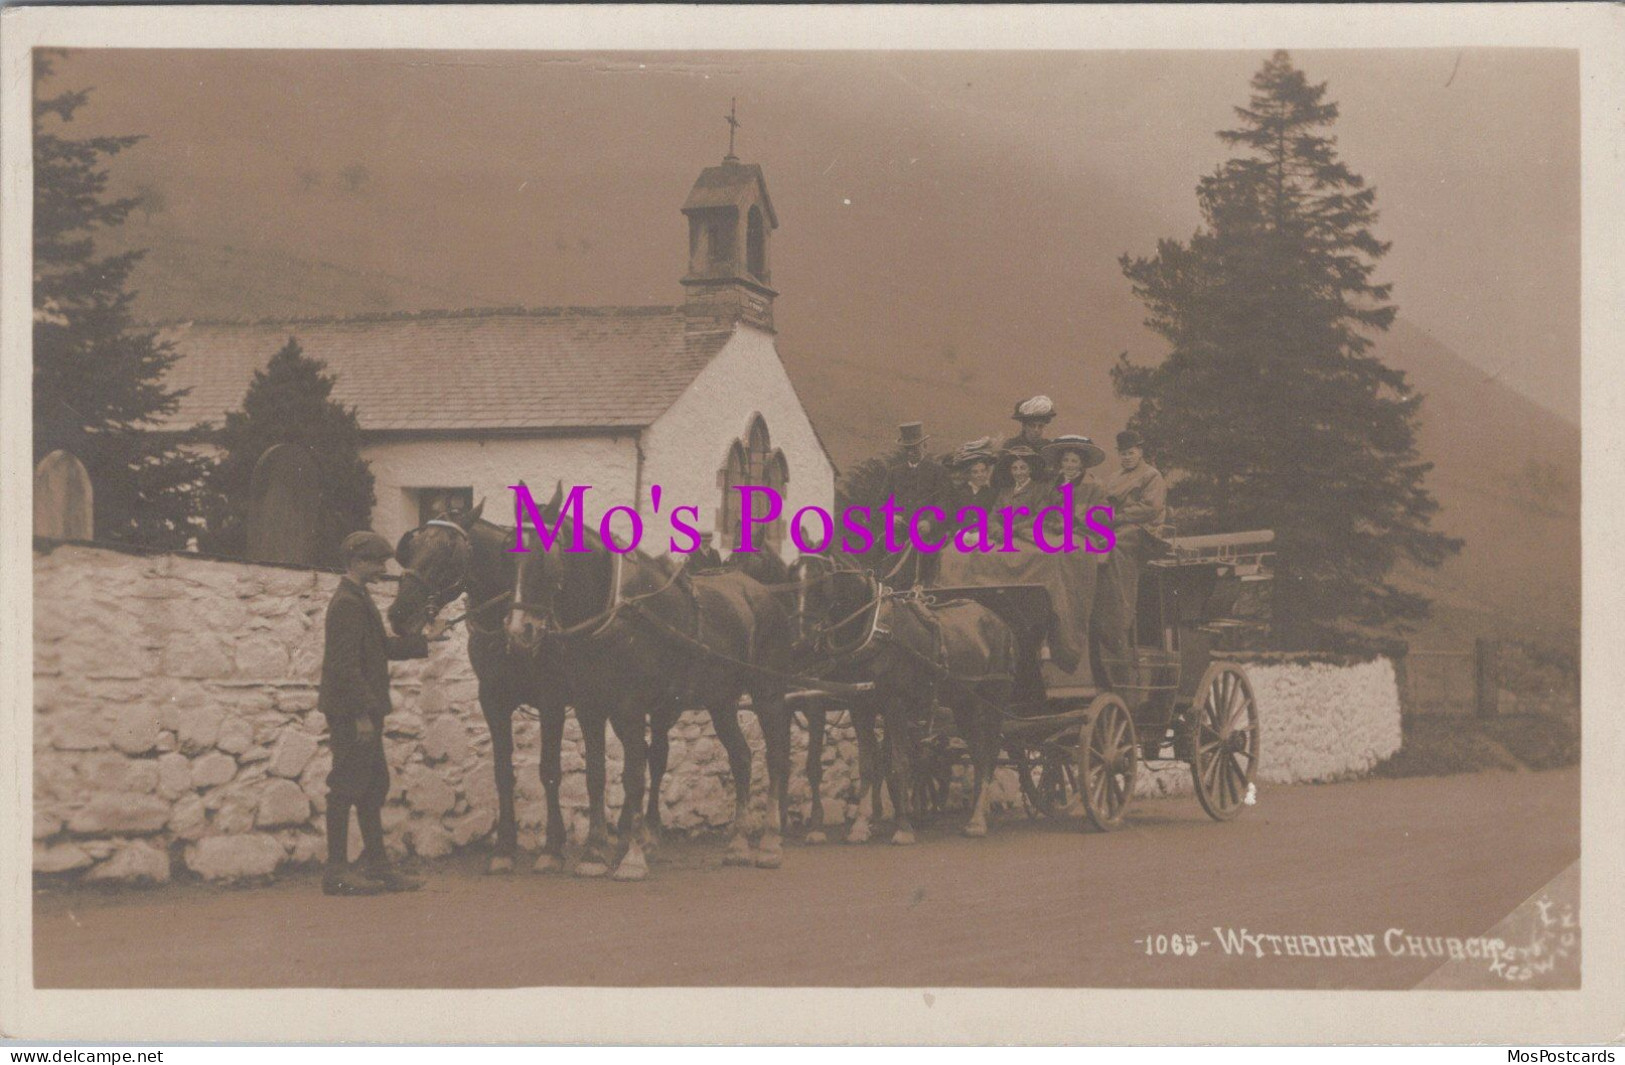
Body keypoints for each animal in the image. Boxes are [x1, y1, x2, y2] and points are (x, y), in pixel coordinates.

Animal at [500, 487, 793, 878]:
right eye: (509, 554)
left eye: (544, 558)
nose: (520, 630)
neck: (614, 614)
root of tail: (761, 594)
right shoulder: (590, 707)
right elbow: (596, 776)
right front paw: (594, 853)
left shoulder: (632, 708)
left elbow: (634, 776)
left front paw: (633, 856)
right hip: (721, 700)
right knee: (742, 758)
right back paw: (737, 844)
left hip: (767, 692)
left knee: (775, 757)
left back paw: (771, 842)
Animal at [789, 552, 1007, 845]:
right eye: (792, 578)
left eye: (821, 582)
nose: (800, 644)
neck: (874, 629)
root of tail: (996, 619)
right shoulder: (859, 705)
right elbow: (867, 764)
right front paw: (860, 825)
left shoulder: (895, 704)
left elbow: (900, 763)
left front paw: (903, 827)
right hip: (963, 703)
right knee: (979, 753)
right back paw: (975, 814)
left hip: (992, 701)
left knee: (989, 752)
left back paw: (978, 819)